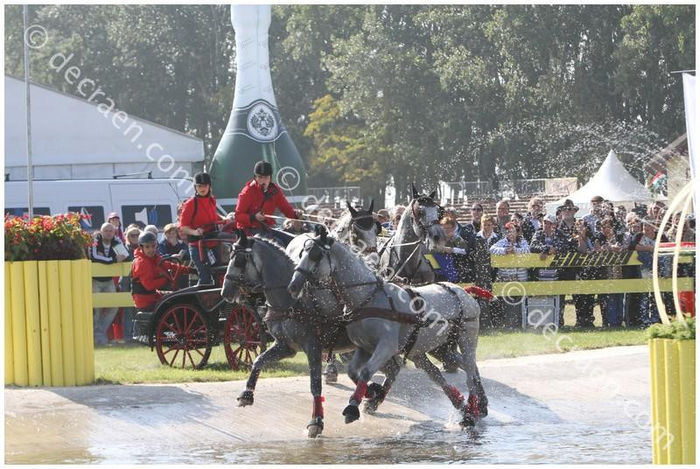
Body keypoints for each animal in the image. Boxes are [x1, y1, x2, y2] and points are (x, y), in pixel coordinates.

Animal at [288, 229, 490, 426]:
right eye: (301, 253)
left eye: (315, 255)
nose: (293, 286)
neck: (368, 297)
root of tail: (464, 292)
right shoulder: (364, 347)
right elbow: (354, 371)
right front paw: (372, 392)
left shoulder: (387, 346)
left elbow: (367, 371)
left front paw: (353, 407)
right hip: (439, 348)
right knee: (458, 368)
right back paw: (472, 404)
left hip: (466, 337)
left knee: (469, 372)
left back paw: (471, 412)